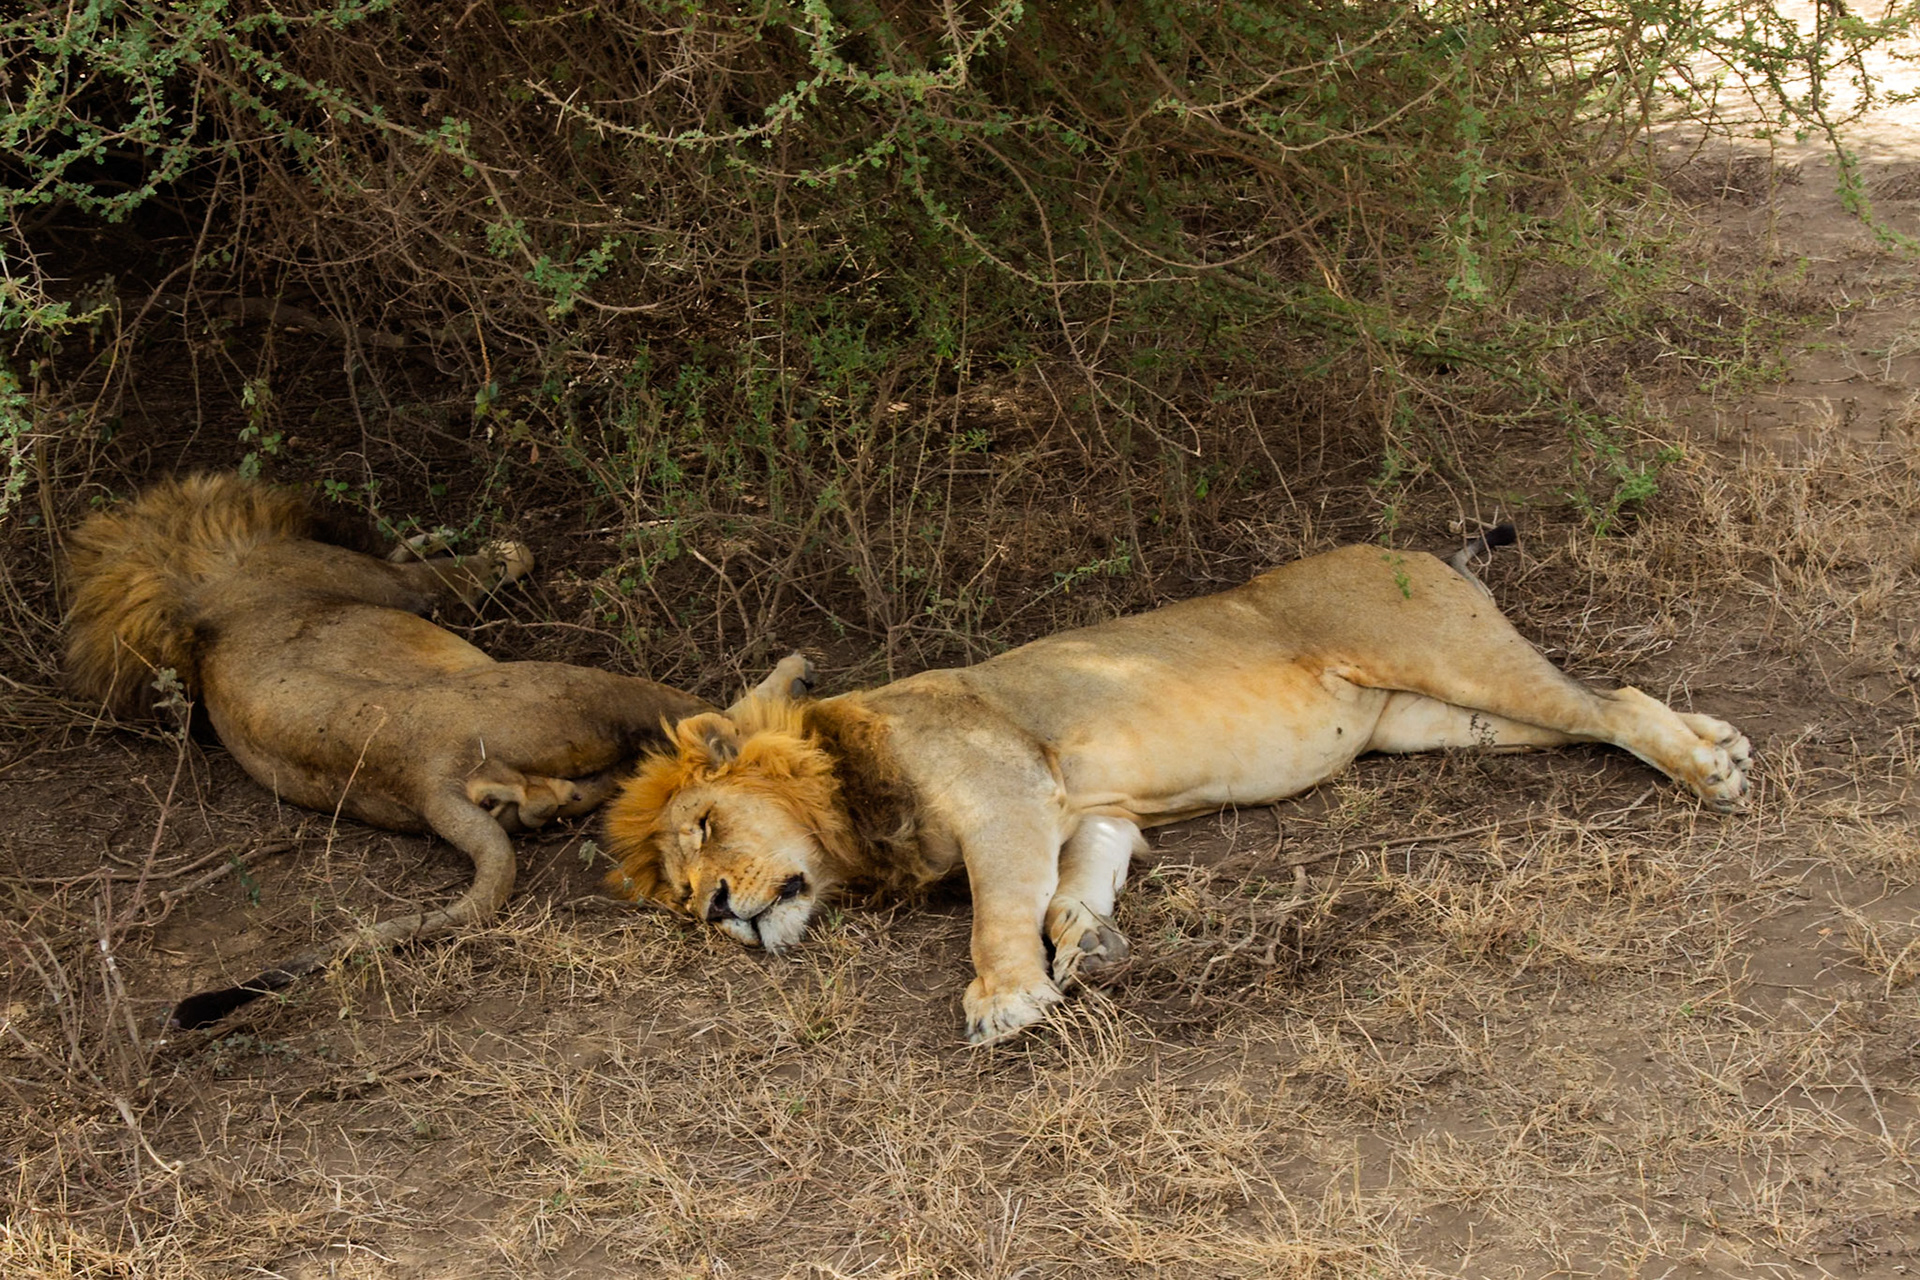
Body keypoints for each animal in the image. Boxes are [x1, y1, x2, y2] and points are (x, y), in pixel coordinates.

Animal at [65, 472, 809, 1029]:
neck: (201, 588)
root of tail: (426, 782)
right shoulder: (395, 586)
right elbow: (451, 571)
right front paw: (504, 550)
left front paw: (425, 532)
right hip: (572, 686)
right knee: (705, 727)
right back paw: (791, 681)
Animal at [600, 538, 1752, 1044]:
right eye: (677, 889)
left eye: (705, 826)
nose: (715, 912)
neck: (849, 789)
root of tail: (1414, 543)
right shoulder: (1091, 812)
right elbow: (1076, 890)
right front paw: (1093, 946)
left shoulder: (1008, 801)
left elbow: (996, 913)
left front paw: (1005, 996)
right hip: (1434, 722)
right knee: (1602, 703)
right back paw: (1721, 744)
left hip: (1448, 658)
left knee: (1609, 703)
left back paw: (1710, 774)